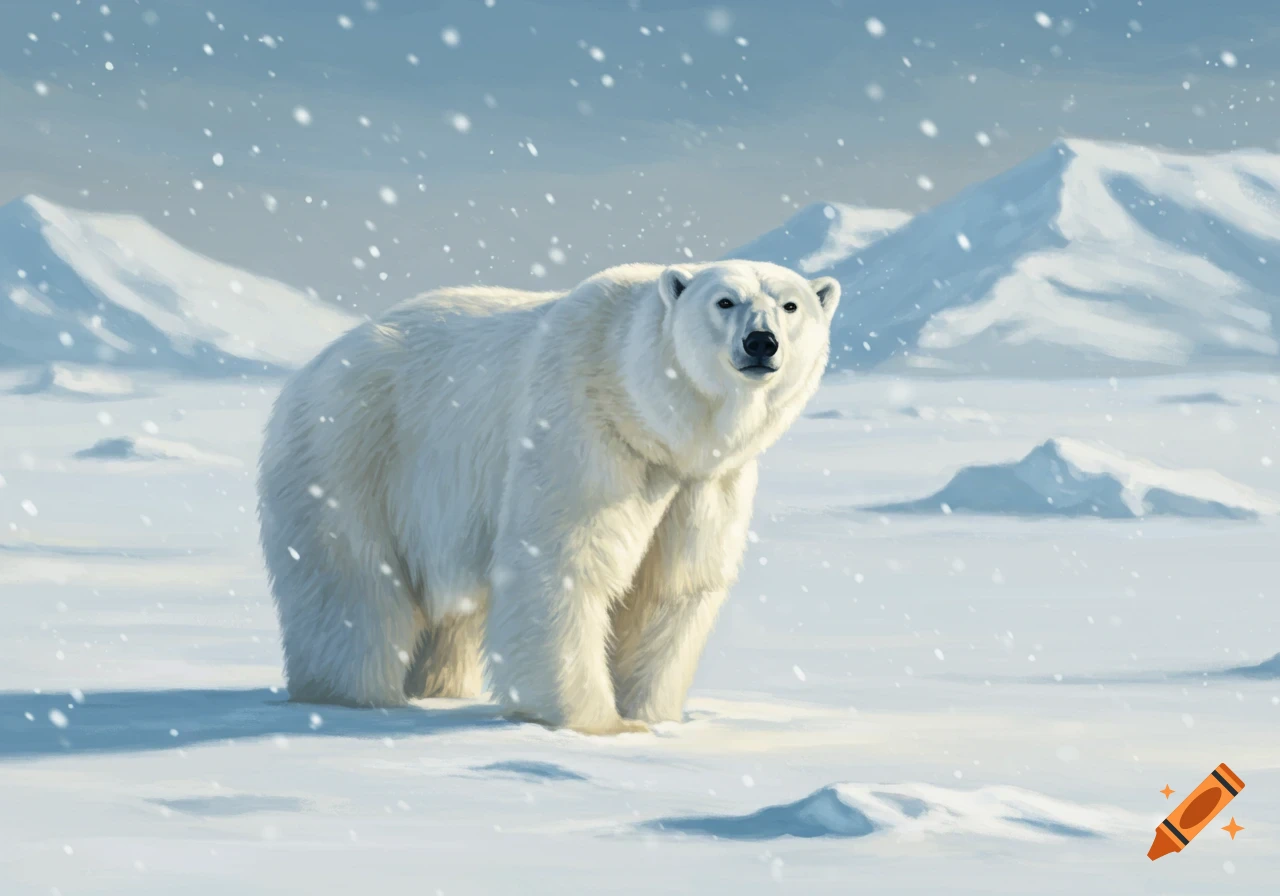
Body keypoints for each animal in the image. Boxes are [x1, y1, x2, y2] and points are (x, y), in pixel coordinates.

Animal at [257, 260, 840, 734]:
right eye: (724, 301)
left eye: (790, 304)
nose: (761, 342)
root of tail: (312, 368)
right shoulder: (585, 432)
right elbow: (565, 561)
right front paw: (594, 723)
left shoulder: (702, 482)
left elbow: (675, 585)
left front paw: (652, 715)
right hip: (353, 454)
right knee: (350, 586)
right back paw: (355, 698)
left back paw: (439, 689)